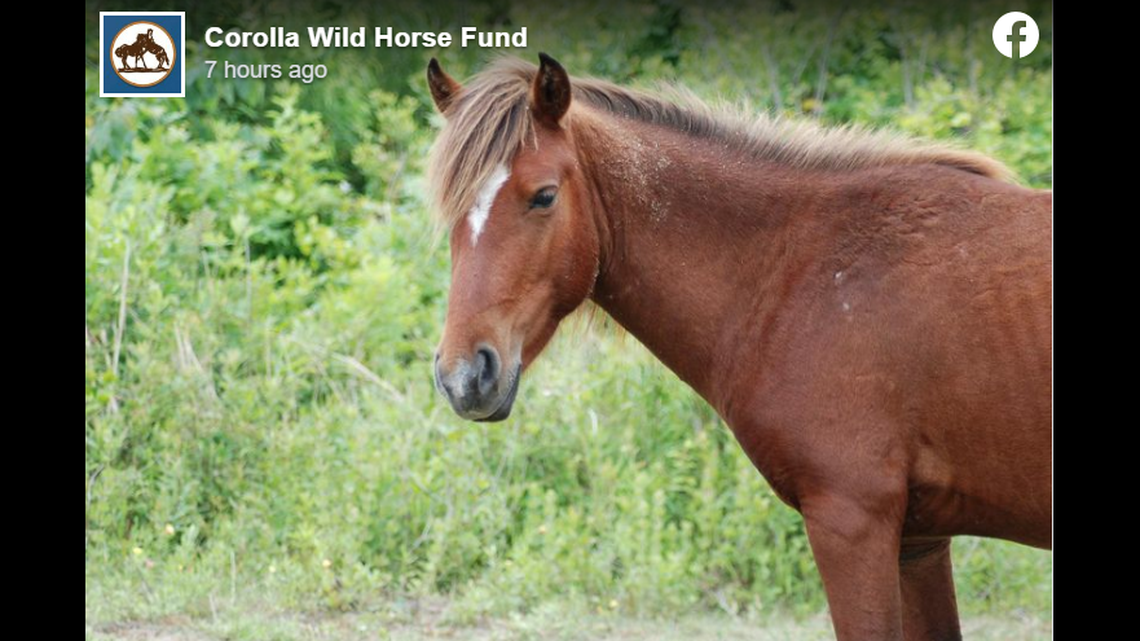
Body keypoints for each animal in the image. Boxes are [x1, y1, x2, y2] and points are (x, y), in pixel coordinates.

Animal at [426, 54, 1051, 640]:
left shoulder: (853, 523)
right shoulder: (920, 541)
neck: (798, 271)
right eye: (449, 209)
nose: (465, 377)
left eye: (544, 196)